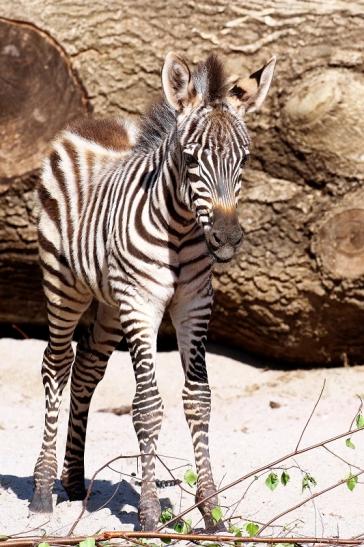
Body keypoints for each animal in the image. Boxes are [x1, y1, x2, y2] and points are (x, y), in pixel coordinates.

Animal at [30, 52, 276, 532]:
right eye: (191, 158)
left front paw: (212, 511)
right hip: (64, 284)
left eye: (244, 159)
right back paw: (43, 489)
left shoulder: (195, 305)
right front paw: (146, 514)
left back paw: (74, 480)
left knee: (86, 369)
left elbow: (198, 400)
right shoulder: (141, 305)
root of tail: (93, 123)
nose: (226, 239)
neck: (179, 229)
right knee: (57, 365)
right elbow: (146, 406)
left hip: (110, 303)